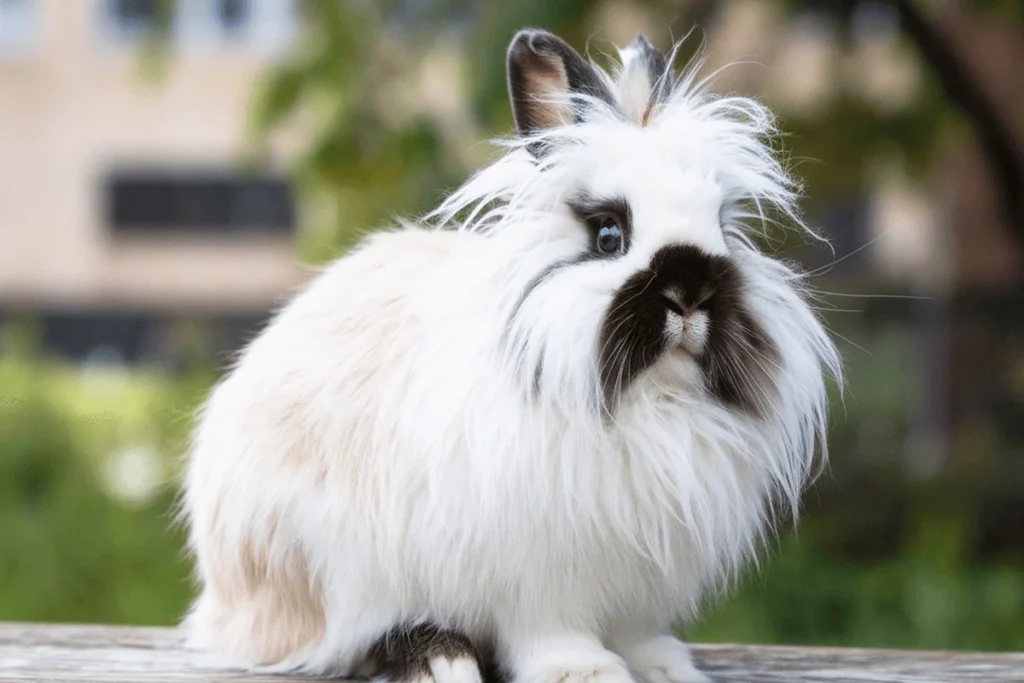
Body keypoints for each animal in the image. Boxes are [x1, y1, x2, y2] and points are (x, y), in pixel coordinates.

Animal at [182, 29, 839, 683]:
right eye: (609, 236)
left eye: (722, 230)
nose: (691, 292)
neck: (650, 398)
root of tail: (223, 605)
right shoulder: (539, 573)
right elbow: (552, 629)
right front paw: (585, 671)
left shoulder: (639, 578)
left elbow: (635, 633)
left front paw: (663, 666)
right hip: (331, 567)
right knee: (358, 637)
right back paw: (440, 657)